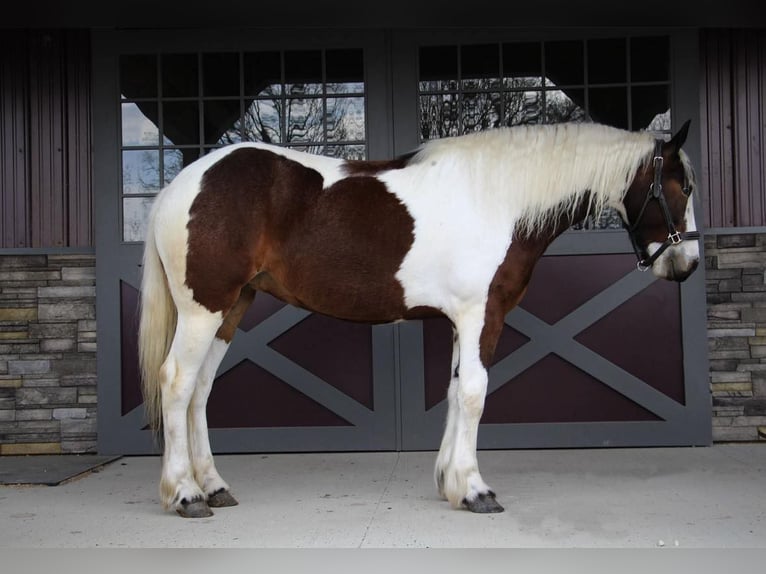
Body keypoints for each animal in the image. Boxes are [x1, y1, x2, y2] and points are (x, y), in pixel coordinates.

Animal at [138, 119, 704, 520]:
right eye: (683, 187)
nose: (687, 263)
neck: (499, 198)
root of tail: (177, 187)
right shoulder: (481, 314)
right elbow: (474, 392)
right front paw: (475, 489)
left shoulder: (461, 320)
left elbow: (454, 391)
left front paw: (449, 482)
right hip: (203, 309)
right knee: (177, 383)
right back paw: (186, 494)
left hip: (232, 307)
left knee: (201, 390)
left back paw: (214, 486)